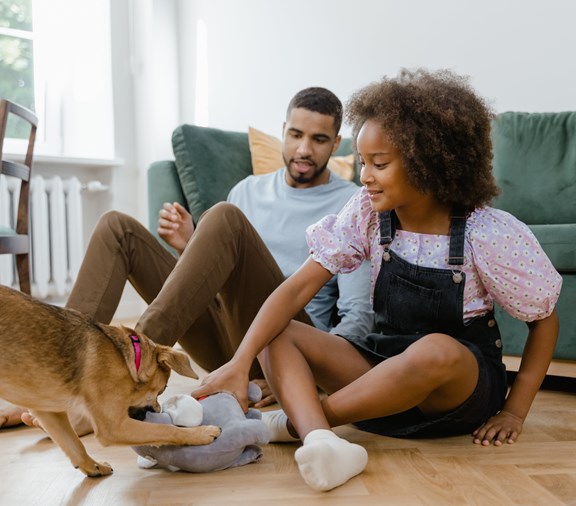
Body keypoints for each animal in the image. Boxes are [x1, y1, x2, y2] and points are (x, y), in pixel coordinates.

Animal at [0, 286, 220, 476]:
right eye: (161, 390)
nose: (158, 411)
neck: (128, 359)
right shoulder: (113, 427)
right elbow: (165, 429)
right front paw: (200, 433)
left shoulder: (47, 411)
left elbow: (74, 445)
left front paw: (93, 467)